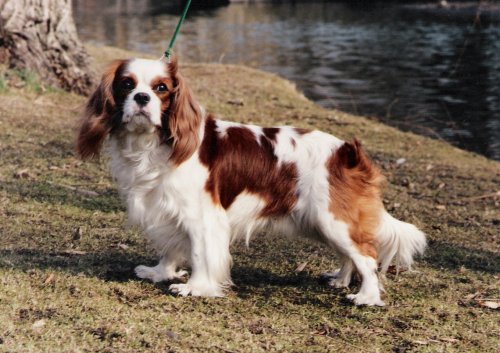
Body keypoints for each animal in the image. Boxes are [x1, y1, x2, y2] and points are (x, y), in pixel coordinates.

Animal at [77, 56, 426, 304]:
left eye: (161, 88)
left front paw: (195, 288)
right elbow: (173, 249)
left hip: (333, 219)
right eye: (126, 84)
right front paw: (160, 272)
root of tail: (347, 152)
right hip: (324, 223)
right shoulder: (168, 209)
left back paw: (367, 296)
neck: (153, 143)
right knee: (350, 254)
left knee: (366, 256)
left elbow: (201, 253)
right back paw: (340, 279)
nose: (141, 98)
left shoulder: (202, 217)